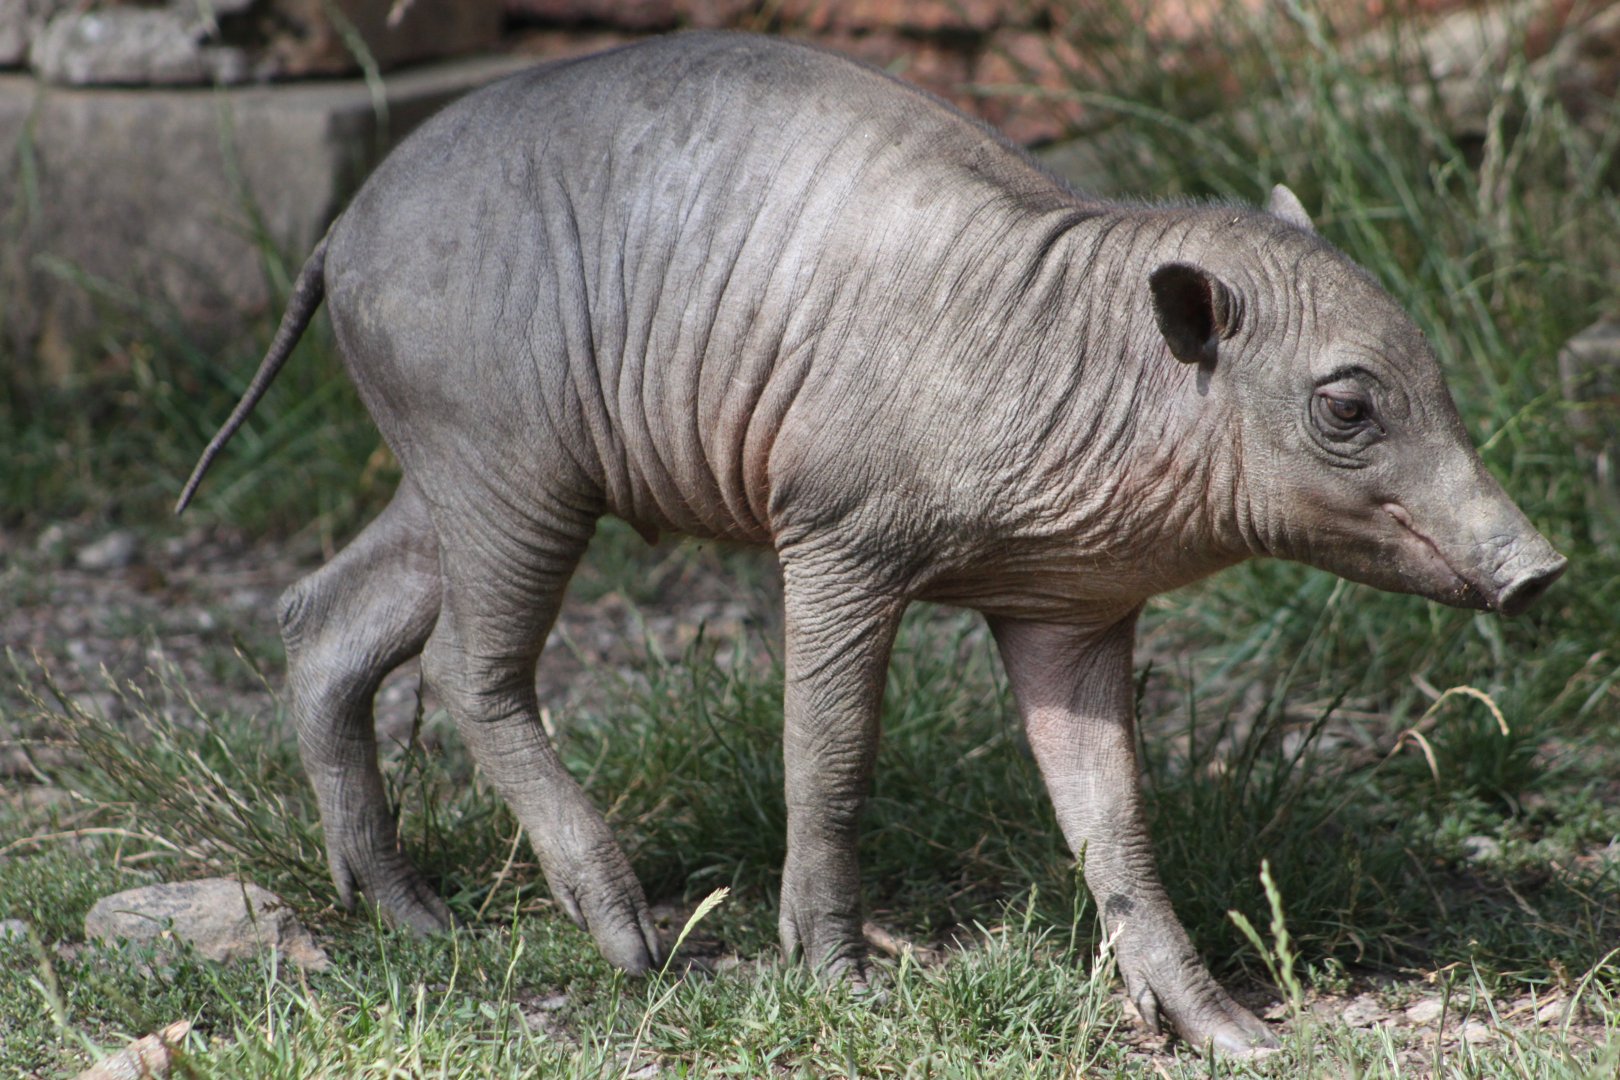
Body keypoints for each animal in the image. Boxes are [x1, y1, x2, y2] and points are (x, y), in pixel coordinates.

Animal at [176, 31, 1566, 1055]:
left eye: (1437, 376)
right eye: (1348, 407)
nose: (1542, 568)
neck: (1090, 386)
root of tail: (338, 233)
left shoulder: (1072, 609)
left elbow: (1114, 819)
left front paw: (1225, 1028)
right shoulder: (838, 540)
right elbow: (831, 758)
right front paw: (837, 978)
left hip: (452, 471)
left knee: (323, 616)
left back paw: (409, 916)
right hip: (513, 464)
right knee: (469, 667)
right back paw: (626, 933)